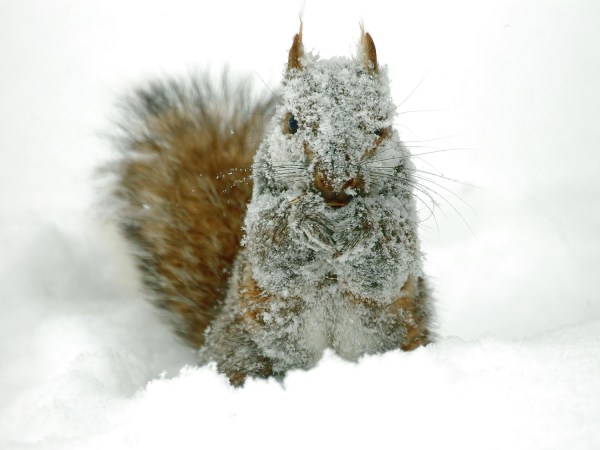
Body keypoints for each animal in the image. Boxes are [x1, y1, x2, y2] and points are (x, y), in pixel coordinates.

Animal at [111, 24, 432, 384]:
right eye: (291, 122)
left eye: (381, 128)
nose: (336, 184)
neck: (335, 219)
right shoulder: (261, 223)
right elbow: (276, 255)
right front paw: (303, 217)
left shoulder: (402, 221)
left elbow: (386, 265)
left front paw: (366, 221)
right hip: (243, 350)